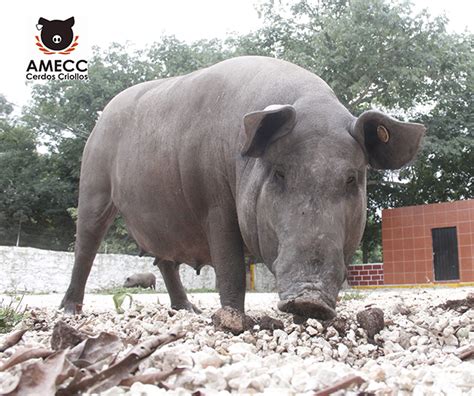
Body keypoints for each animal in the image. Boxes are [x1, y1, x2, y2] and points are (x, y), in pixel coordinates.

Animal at [60, 55, 426, 318]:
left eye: (350, 178)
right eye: (279, 173)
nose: (310, 299)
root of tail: (103, 115)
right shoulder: (215, 202)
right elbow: (230, 267)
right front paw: (234, 318)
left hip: (166, 219)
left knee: (165, 261)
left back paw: (190, 310)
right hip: (94, 183)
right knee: (85, 246)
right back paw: (70, 312)